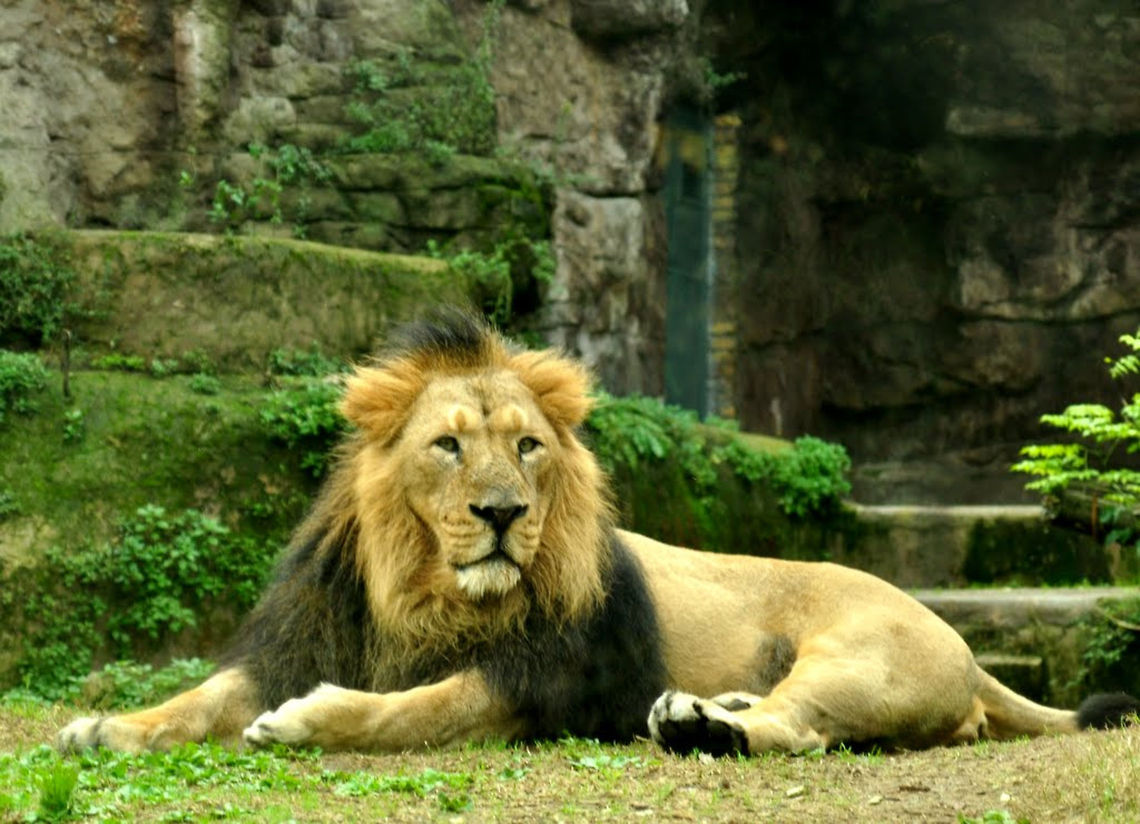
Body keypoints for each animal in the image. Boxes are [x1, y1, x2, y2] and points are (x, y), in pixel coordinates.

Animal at [58, 311, 1138, 756]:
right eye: (449, 445)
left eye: (528, 447)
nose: (502, 514)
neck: (420, 589)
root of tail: (963, 641)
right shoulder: (303, 635)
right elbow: (198, 697)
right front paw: (104, 725)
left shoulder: (547, 679)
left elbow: (418, 708)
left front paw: (308, 720)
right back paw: (703, 707)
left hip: (860, 655)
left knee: (798, 729)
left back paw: (702, 728)